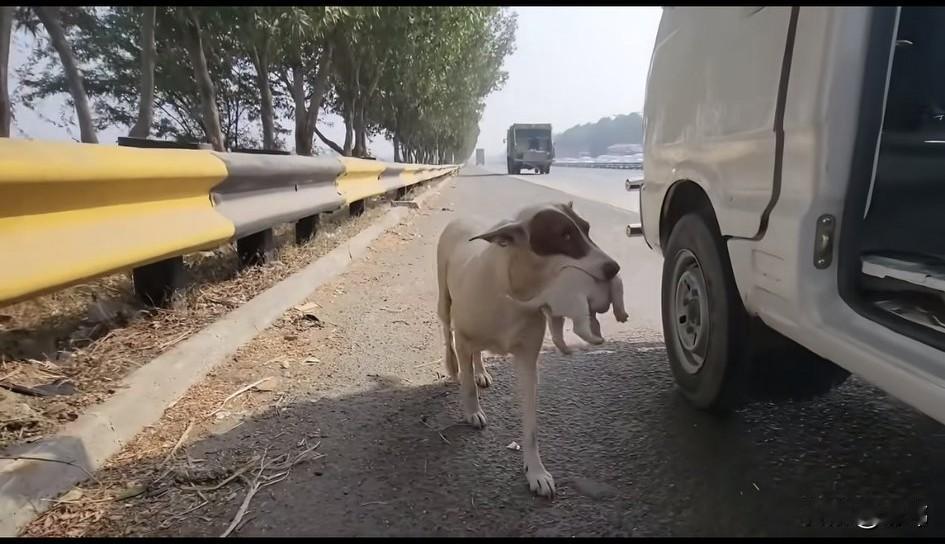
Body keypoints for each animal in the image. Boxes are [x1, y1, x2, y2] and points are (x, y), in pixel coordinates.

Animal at [436, 200, 620, 497]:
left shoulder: (527, 361)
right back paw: (455, 366)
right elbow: (467, 384)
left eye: (587, 229)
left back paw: (480, 371)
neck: (514, 292)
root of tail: (463, 218)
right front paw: (472, 410)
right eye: (564, 235)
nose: (614, 268)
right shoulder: (463, 337)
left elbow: (531, 424)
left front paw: (535, 472)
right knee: (446, 330)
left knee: (476, 353)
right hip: (444, 298)